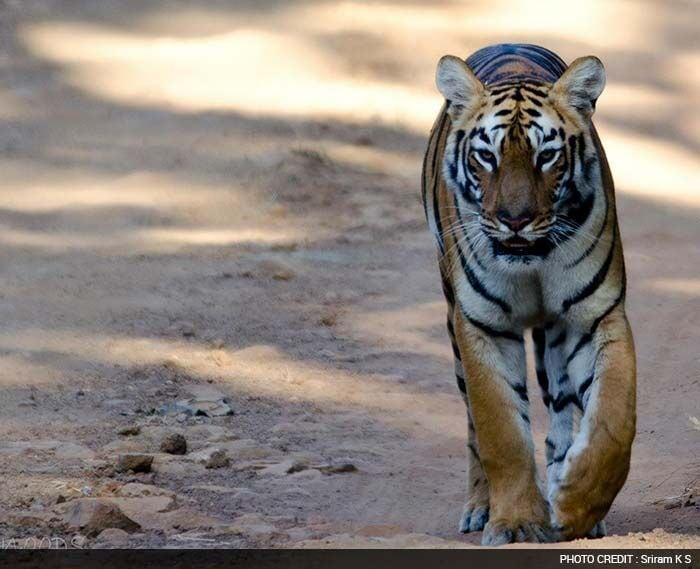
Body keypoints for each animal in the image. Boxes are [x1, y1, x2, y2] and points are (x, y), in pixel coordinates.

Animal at [424, 43, 636, 540]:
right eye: (486, 156)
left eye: (547, 156)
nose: (515, 220)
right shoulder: (482, 326)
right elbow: (499, 431)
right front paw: (518, 522)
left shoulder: (595, 316)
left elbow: (613, 420)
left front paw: (577, 504)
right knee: (472, 423)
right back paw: (480, 508)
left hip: (555, 335)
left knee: (562, 411)